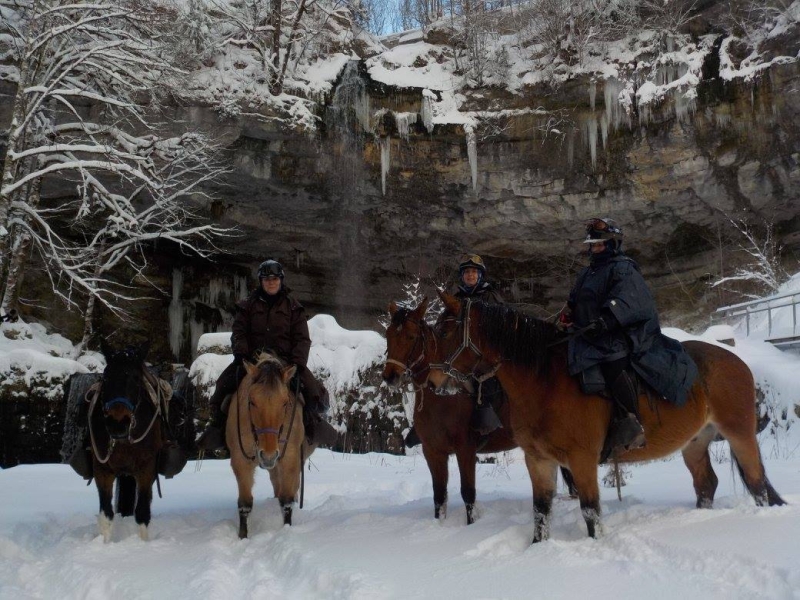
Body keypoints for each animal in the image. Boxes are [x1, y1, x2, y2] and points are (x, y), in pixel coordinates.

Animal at [228, 354, 316, 536]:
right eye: (252, 402)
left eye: (285, 402)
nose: (268, 455)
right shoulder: (240, 461)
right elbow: (245, 504)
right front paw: (242, 537)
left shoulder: (290, 459)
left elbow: (287, 501)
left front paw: (286, 531)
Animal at [428, 290, 784, 544]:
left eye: (445, 331)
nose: (432, 382)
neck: (545, 383)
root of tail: (736, 362)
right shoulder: (539, 461)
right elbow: (541, 513)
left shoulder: (582, 460)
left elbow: (591, 512)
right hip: (695, 443)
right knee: (706, 484)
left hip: (739, 435)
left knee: (757, 485)